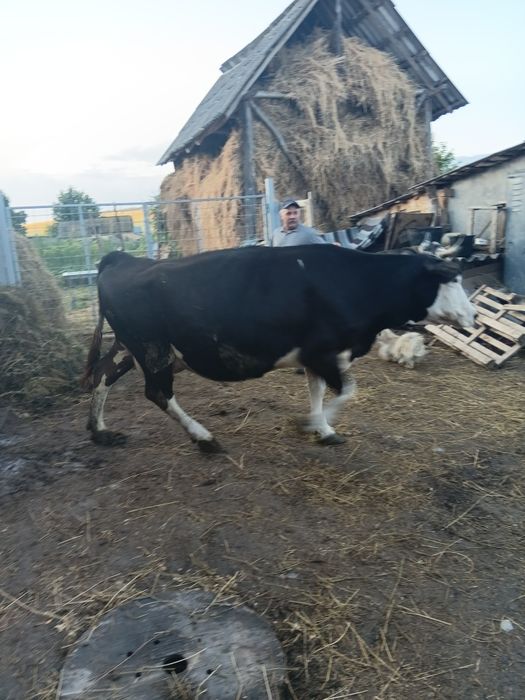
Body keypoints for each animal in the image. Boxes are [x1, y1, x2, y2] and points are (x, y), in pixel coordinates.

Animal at [82, 246, 475, 453]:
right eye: (451, 279)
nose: (472, 315)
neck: (358, 281)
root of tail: (124, 259)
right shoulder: (325, 352)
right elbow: (347, 391)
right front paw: (309, 424)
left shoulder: (317, 357)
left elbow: (318, 391)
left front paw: (323, 429)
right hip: (153, 349)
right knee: (157, 393)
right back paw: (203, 437)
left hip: (130, 347)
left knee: (102, 375)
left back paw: (100, 431)